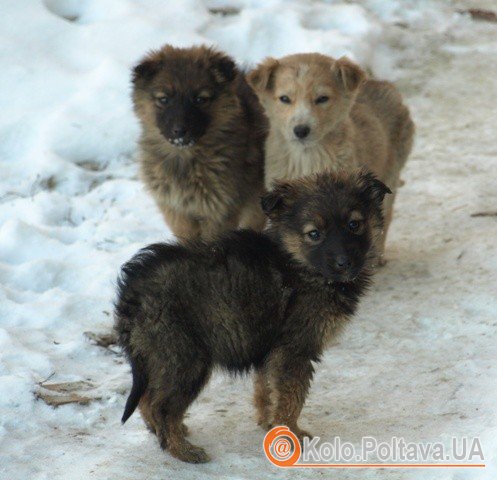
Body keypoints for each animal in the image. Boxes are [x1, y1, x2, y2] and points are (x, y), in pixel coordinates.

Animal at [114, 171, 390, 464]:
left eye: (354, 225)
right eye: (314, 234)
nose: (343, 263)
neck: (299, 265)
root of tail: (131, 292)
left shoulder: (271, 350)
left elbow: (266, 389)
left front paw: (269, 423)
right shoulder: (294, 350)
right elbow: (292, 397)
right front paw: (291, 434)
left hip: (159, 358)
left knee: (147, 399)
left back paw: (163, 433)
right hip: (184, 359)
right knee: (162, 406)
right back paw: (183, 451)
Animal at [132, 44, 268, 240]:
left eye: (200, 99)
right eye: (164, 99)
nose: (180, 131)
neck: (186, 158)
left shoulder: (220, 209)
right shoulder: (176, 210)